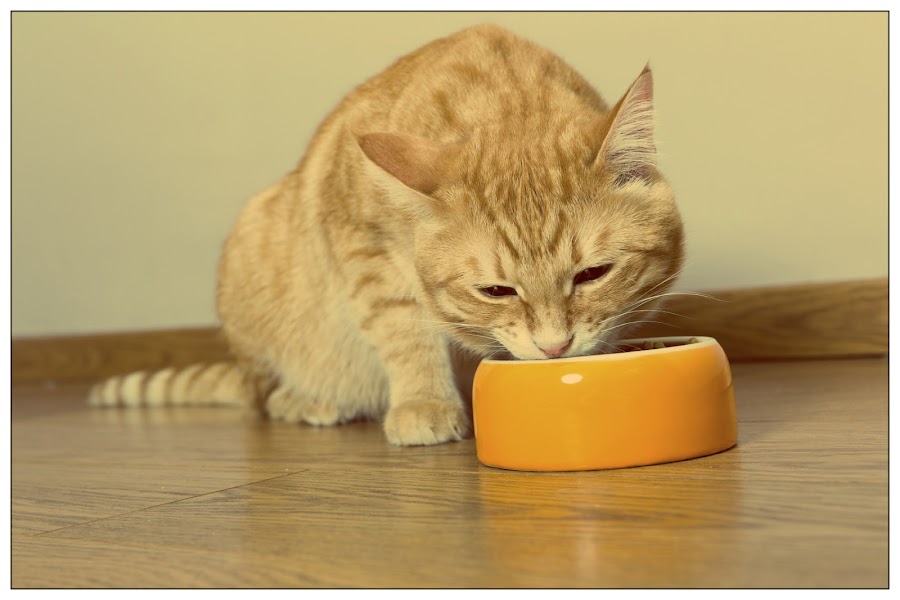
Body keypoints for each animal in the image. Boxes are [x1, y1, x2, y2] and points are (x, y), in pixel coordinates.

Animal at [88, 24, 684, 446]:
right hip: (255, 256)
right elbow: (403, 326)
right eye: (496, 291)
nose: (554, 347)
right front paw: (425, 403)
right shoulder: (363, 247)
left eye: (593, 274)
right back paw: (305, 401)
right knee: (263, 395)